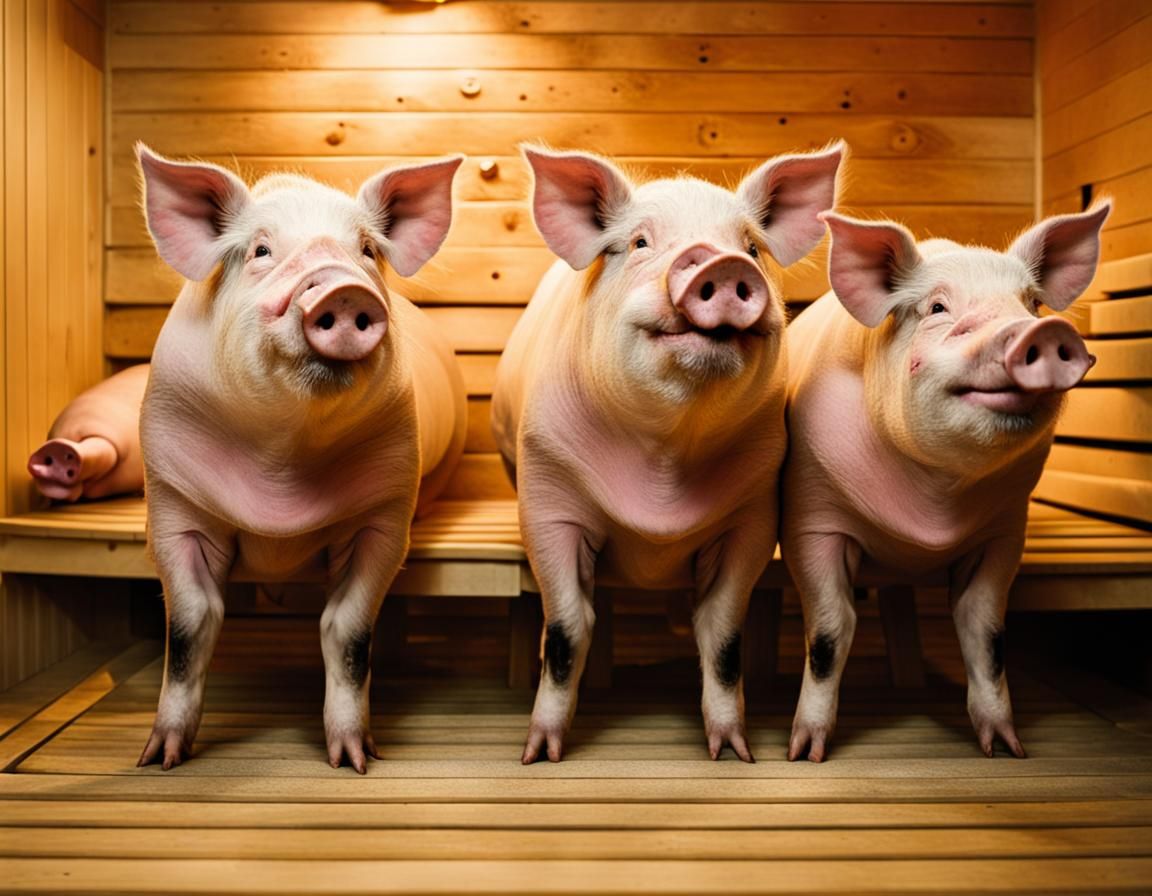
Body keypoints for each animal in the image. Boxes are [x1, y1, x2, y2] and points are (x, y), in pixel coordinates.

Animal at [134, 145, 467, 772]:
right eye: (261, 251)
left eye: (366, 250)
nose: (342, 290)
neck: (281, 468)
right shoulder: (173, 504)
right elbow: (190, 628)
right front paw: (158, 761)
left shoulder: (384, 515)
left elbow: (348, 631)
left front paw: (355, 761)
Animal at [492, 143, 844, 763]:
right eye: (639, 243)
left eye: (751, 247)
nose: (721, 263)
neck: (664, 463)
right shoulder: (548, 498)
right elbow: (566, 629)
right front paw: (539, 755)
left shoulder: (752, 517)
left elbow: (722, 635)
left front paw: (735, 754)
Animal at [781, 202, 1110, 762]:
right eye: (937, 307)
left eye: (1031, 303)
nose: (1043, 333)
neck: (931, 510)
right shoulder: (814, 518)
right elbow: (830, 629)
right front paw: (804, 755)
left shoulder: (1004, 530)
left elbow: (985, 628)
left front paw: (1007, 751)